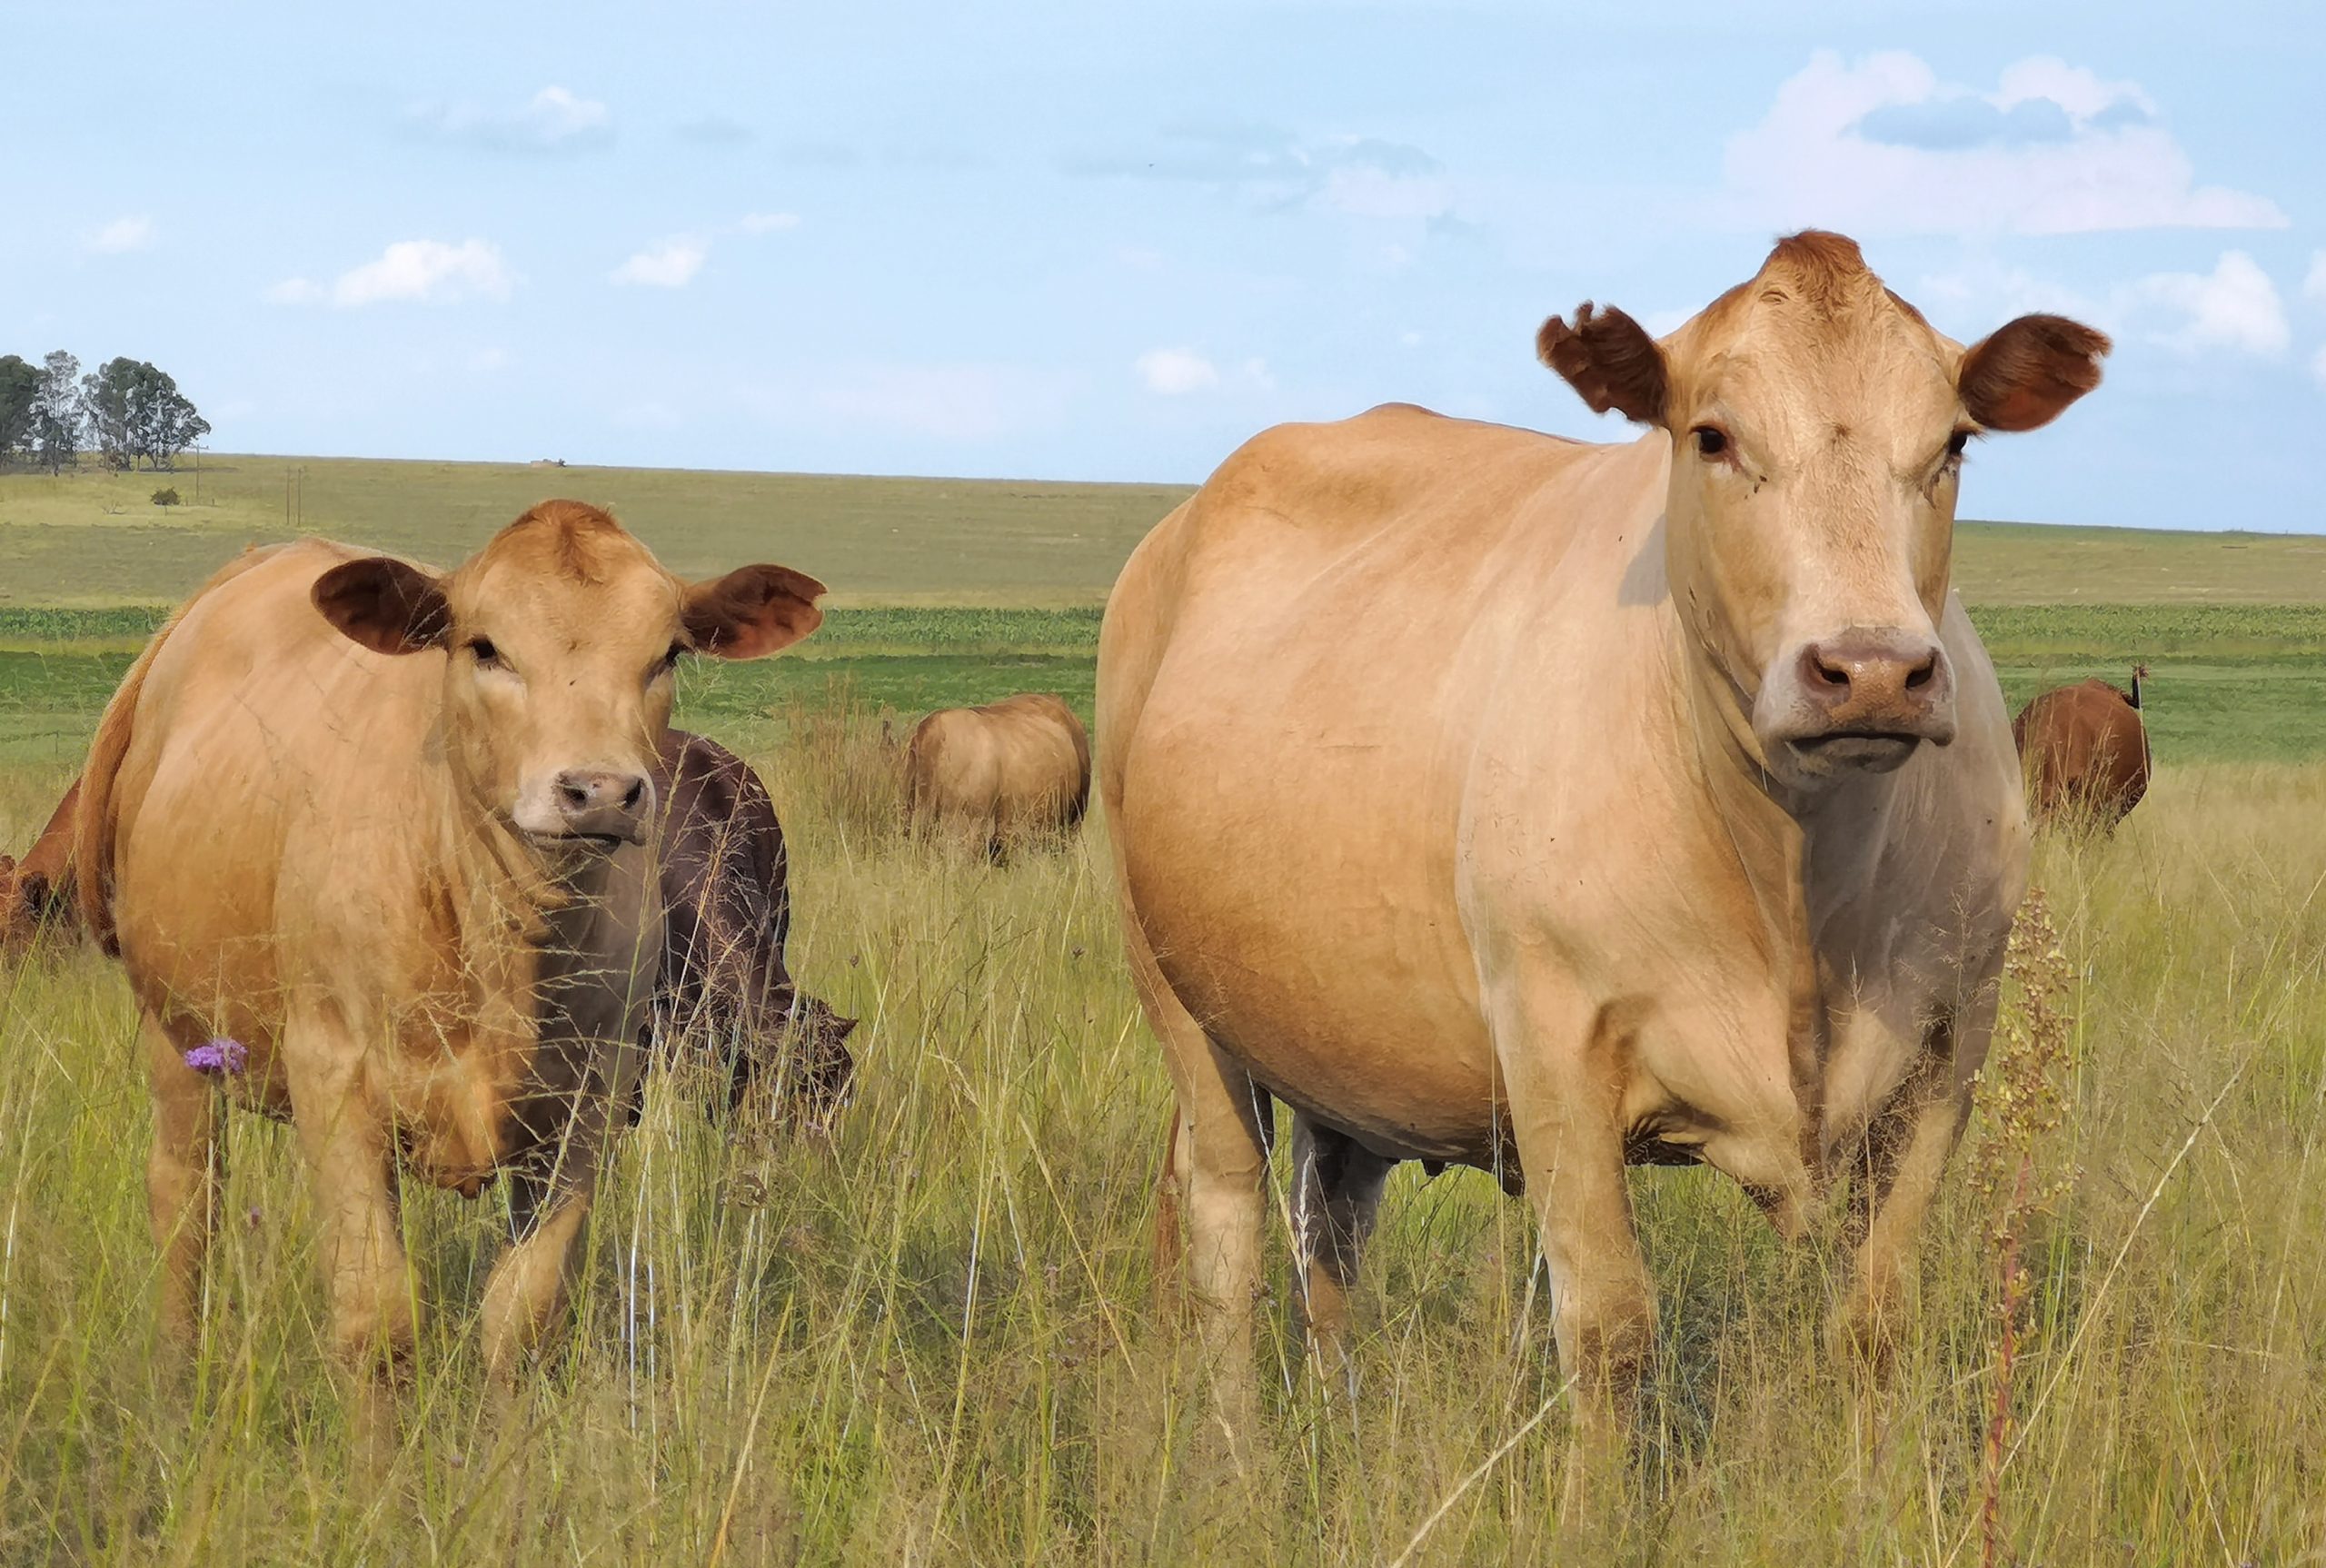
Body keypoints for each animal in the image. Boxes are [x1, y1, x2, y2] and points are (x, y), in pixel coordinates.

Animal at [79, 507, 828, 1377]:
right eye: (485, 646)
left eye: (667, 652)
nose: (601, 792)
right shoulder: (334, 1080)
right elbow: (375, 1319)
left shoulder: (593, 1103)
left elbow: (524, 1316)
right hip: (176, 1035)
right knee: (186, 1205)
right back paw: (174, 1372)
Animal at [1102, 233, 2112, 1414]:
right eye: (1711, 435)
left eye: (1952, 441)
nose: (1870, 670)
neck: (1795, 883)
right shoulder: (1551, 1044)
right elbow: (1609, 1330)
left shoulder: (1949, 1046)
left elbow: (1873, 1323)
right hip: (1177, 991)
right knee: (1226, 1225)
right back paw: (1237, 1444)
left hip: (1336, 1031)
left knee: (1331, 1223)